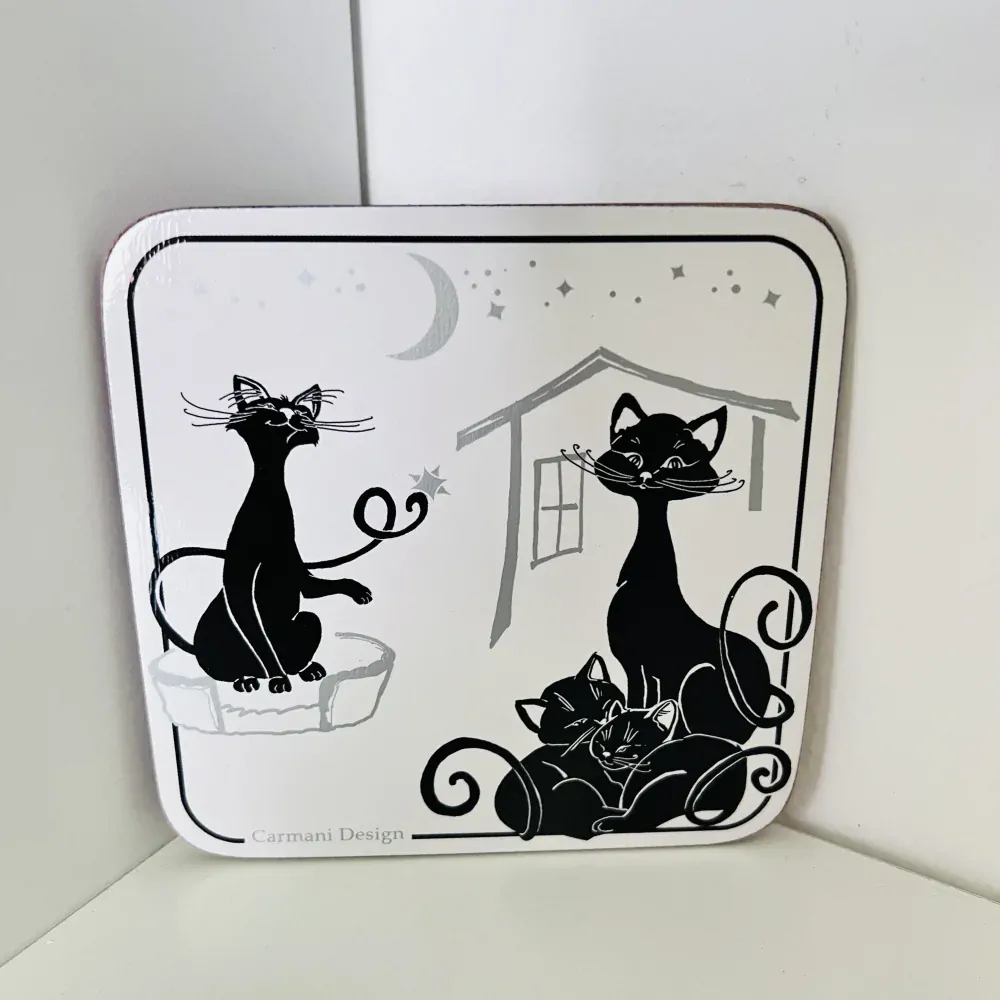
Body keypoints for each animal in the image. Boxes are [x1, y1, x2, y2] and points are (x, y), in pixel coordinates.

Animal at [149, 375, 428, 693]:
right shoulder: (240, 587)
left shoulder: (297, 573)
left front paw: (357, 590)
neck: (272, 524)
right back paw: (249, 679)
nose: (293, 416)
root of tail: (195, 648)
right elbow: (258, 638)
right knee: (234, 667)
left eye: (301, 410)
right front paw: (277, 678)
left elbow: (313, 587)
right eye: (269, 407)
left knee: (305, 627)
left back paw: (306, 669)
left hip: (307, 621)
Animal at [563, 393, 813, 745]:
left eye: (675, 464)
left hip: (700, 679)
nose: (647, 477)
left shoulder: (658, 667)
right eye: (633, 458)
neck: (650, 579)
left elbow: (654, 703)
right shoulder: (636, 665)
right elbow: (641, 700)